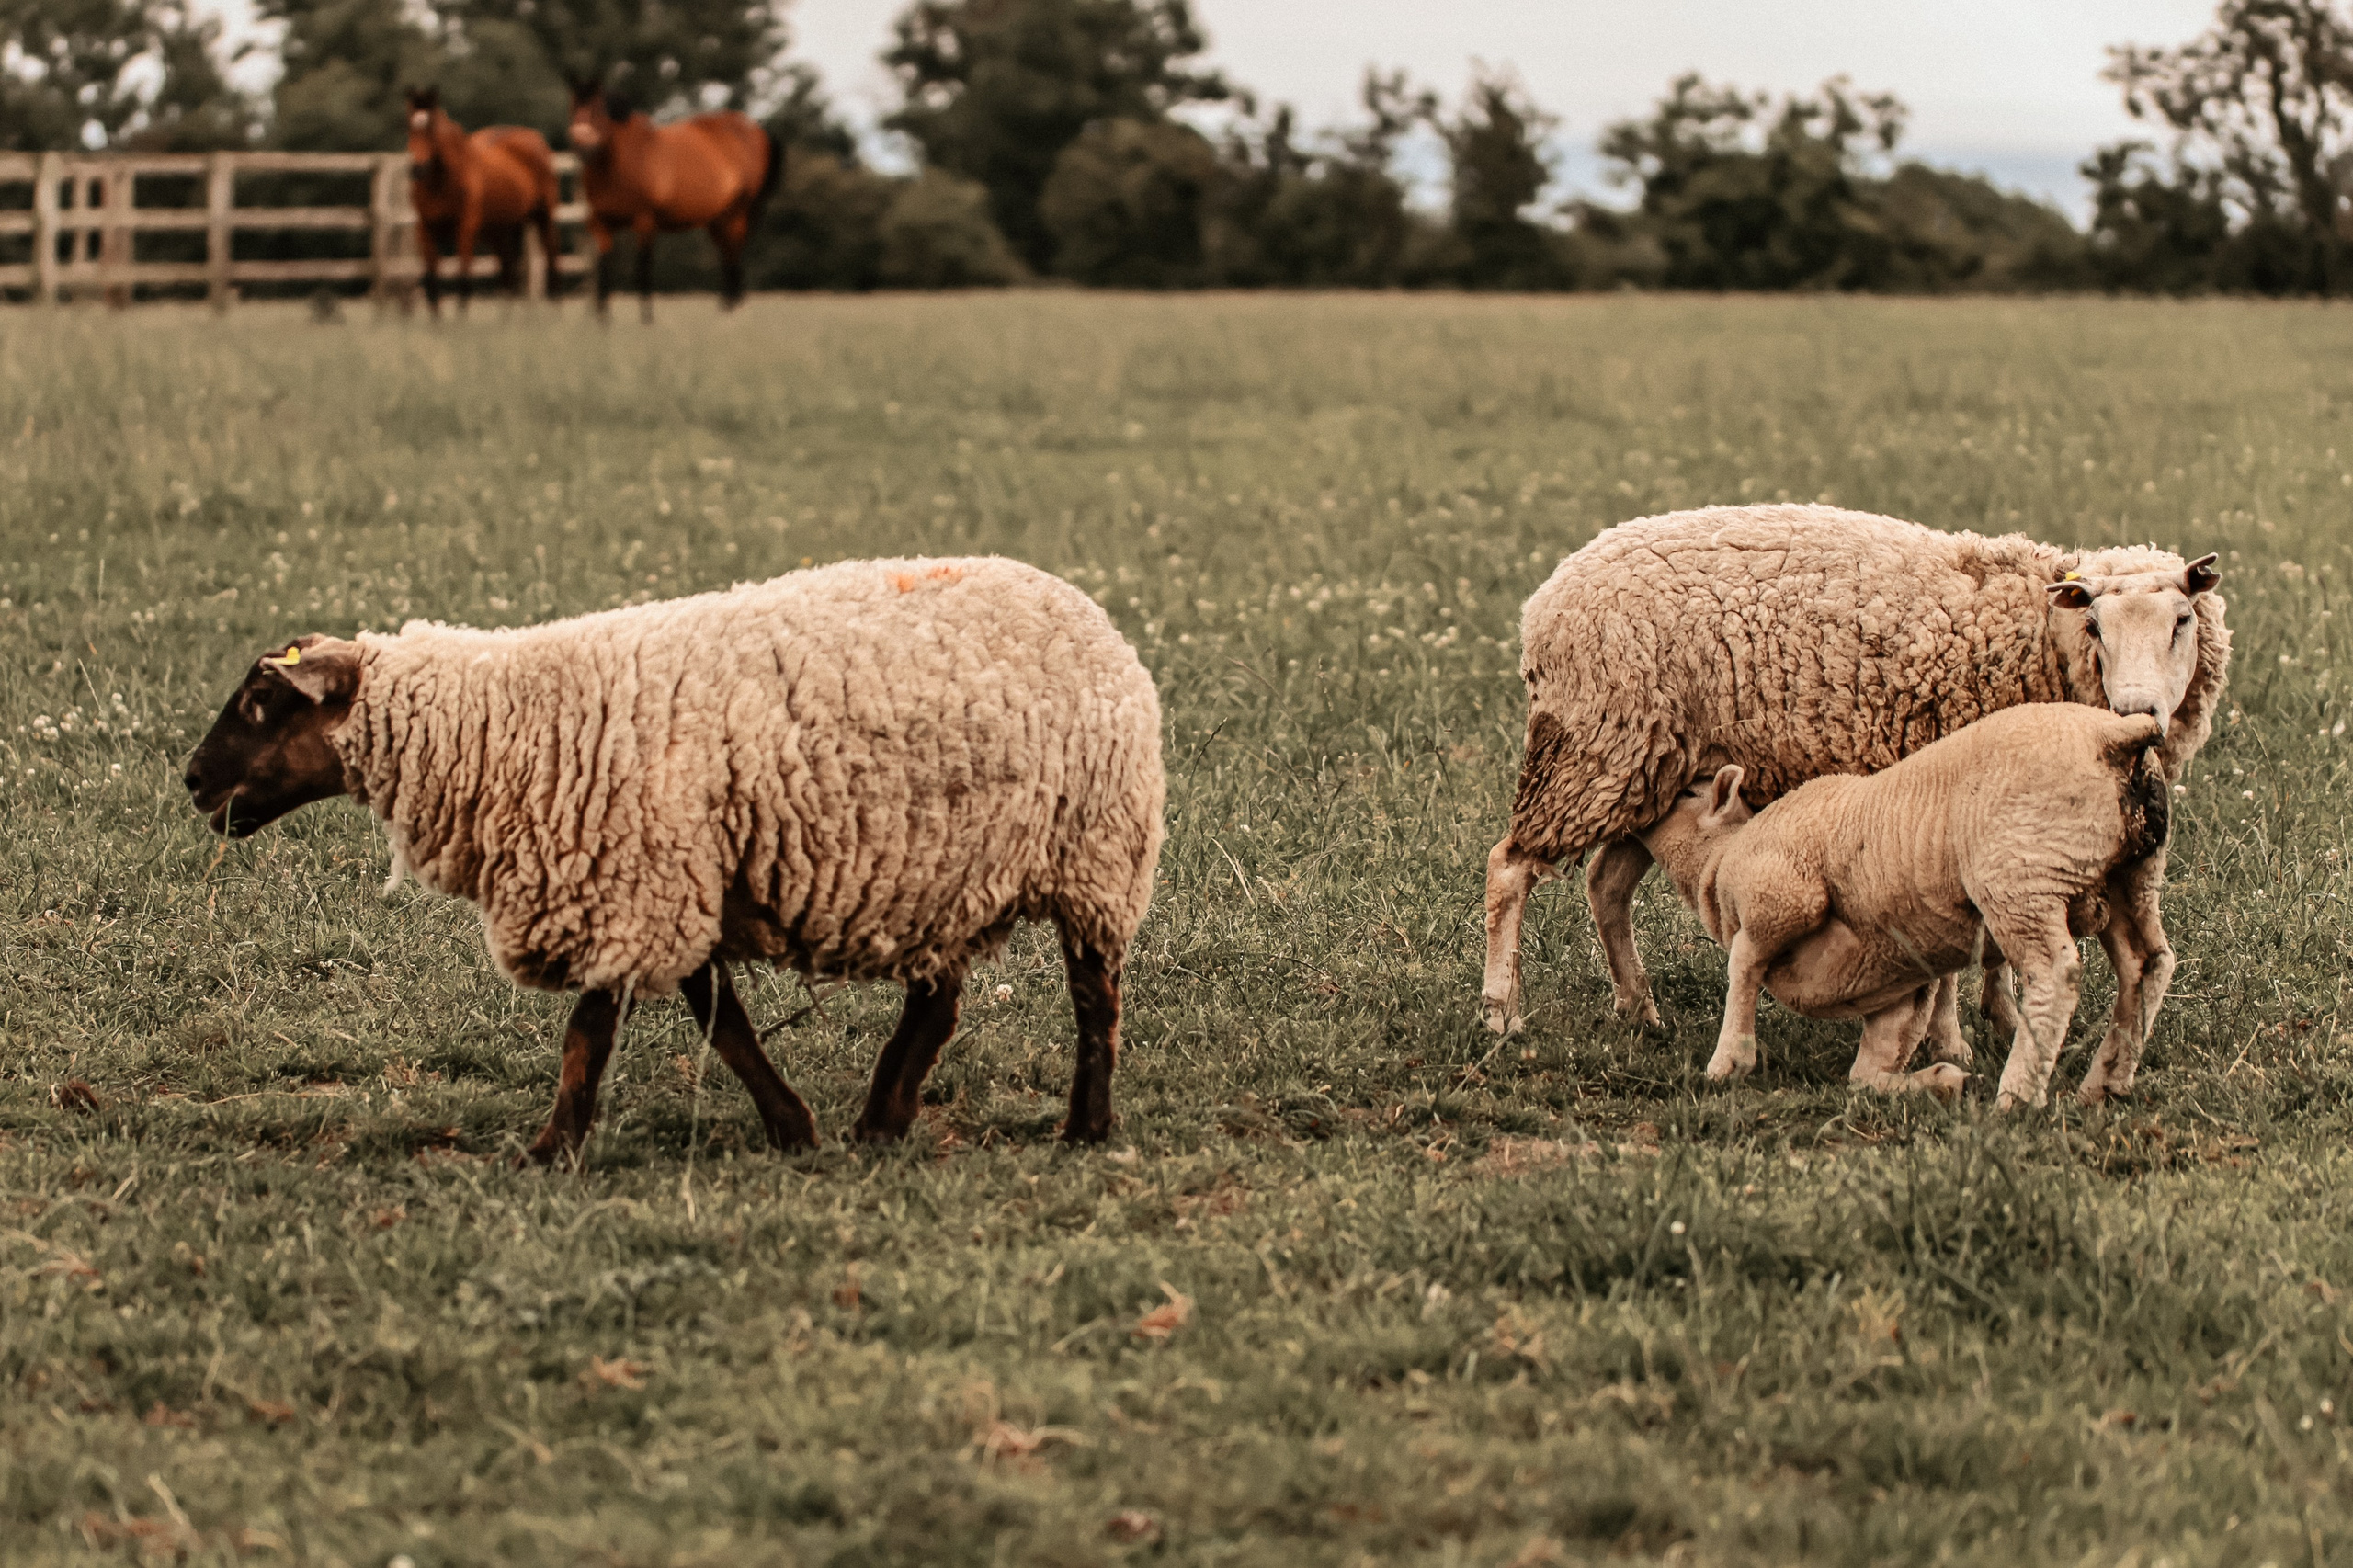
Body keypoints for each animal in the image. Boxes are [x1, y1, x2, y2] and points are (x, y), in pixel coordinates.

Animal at [402, 86, 563, 317]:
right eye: (408, 126)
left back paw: (555, 308)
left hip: (543, 217)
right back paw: (506, 318)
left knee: (550, 252)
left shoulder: (466, 227)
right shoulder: (425, 228)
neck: (443, 183)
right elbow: (432, 275)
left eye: (432, 128)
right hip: (497, 230)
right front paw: (436, 319)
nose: (418, 169)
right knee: (507, 267)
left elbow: (463, 270)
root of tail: (535, 138)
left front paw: (460, 317)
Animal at [564, 80, 781, 322]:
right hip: (718, 221)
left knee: (733, 257)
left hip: (735, 217)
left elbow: (642, 266)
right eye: (573, 108)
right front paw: (603, 319)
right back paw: (726, 309)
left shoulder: (645, 221)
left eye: (599, 110)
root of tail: (755, 129)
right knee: (728, 256)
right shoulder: (600, 224)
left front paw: (646, 318)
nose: (581, 143)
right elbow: (604, 267)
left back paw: (731, 312)